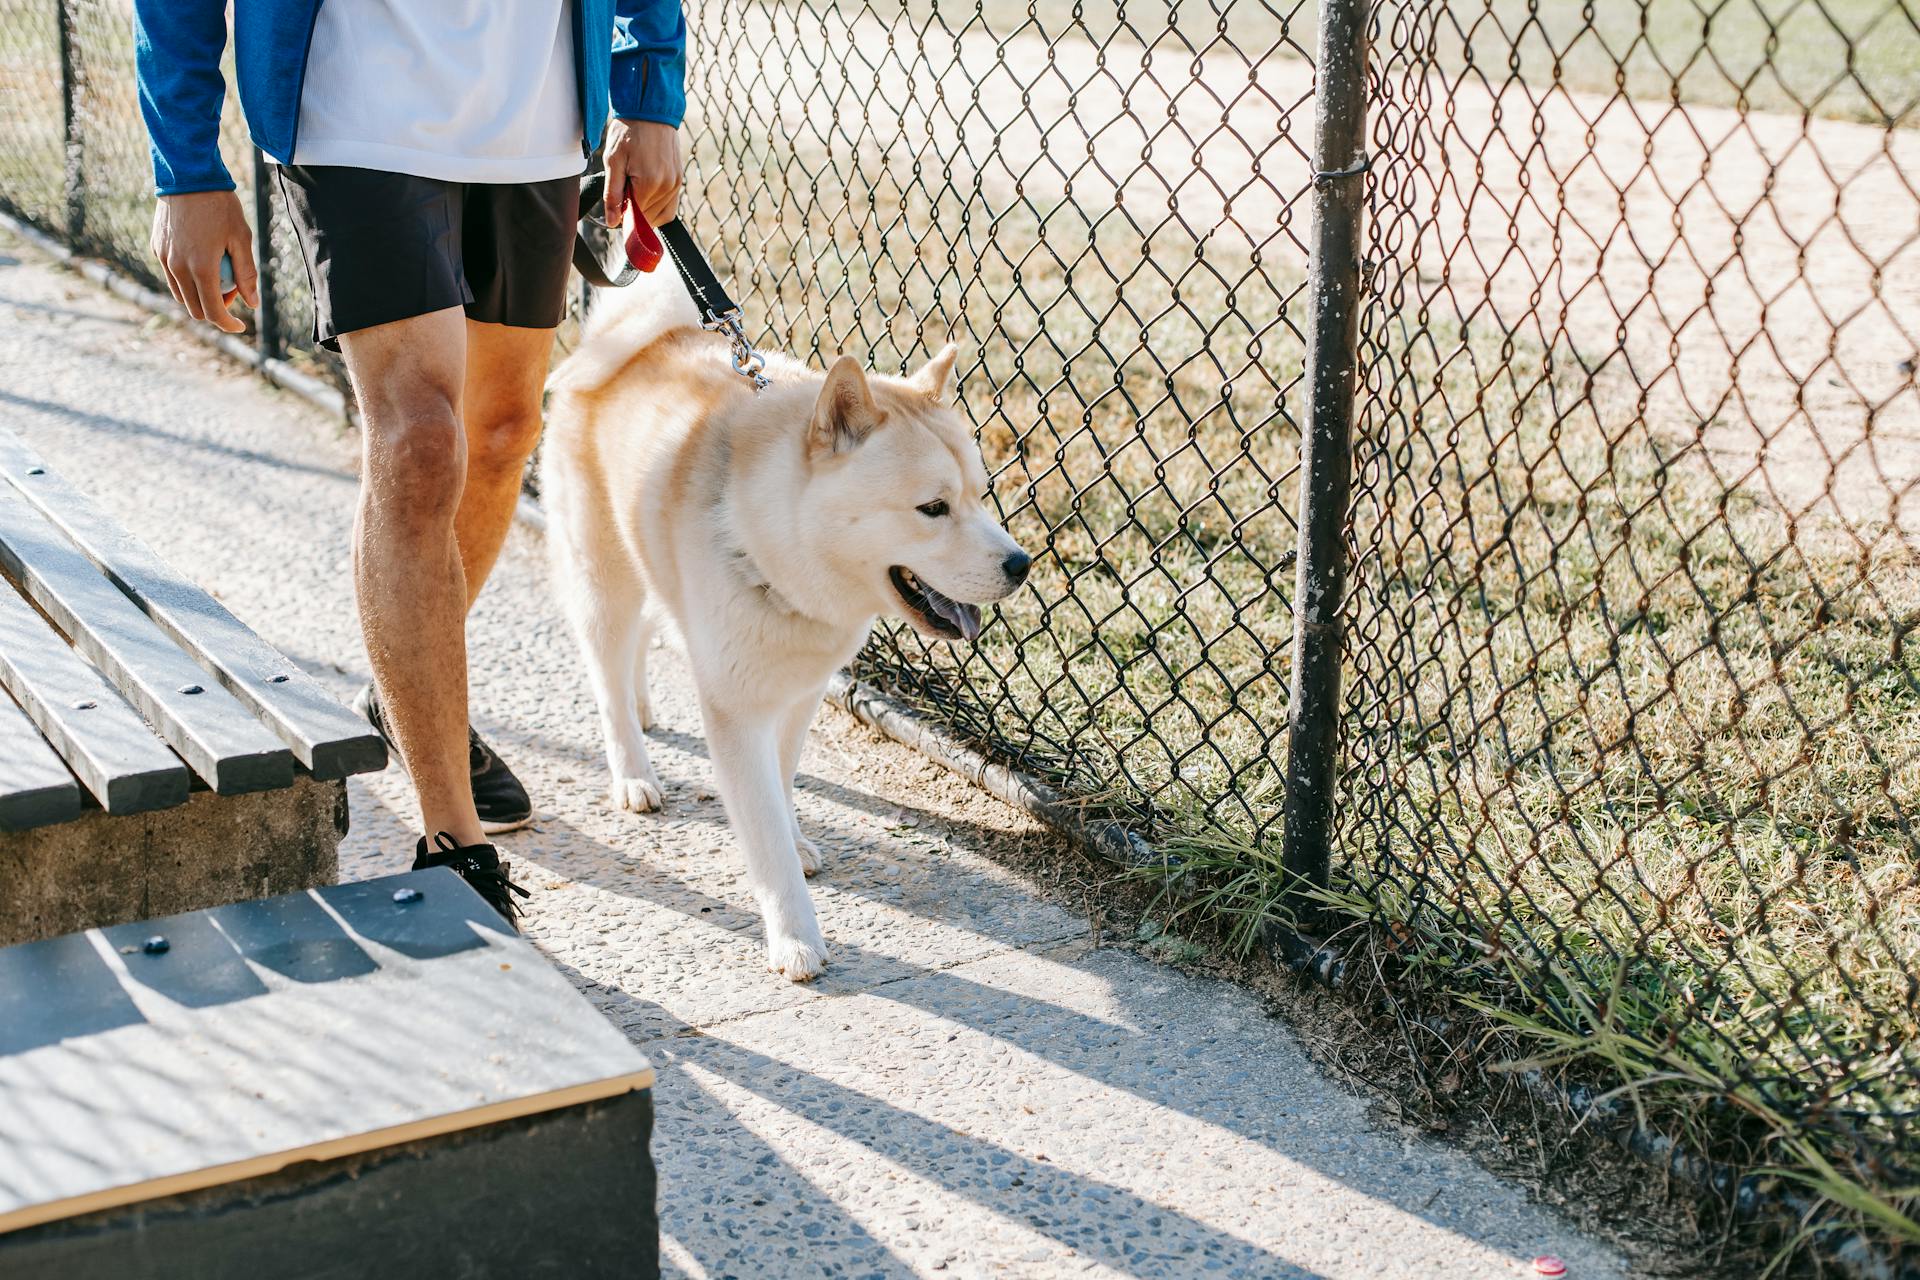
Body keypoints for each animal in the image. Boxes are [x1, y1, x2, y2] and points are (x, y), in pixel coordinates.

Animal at [549, 272, 1029, 982]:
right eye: (933, 508)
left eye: (979, 495)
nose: (1022, 565)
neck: (773, 550)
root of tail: (631, 341)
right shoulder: (736, 710)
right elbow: (764, 831)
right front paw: (795, 935)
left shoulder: (801, 694)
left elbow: (781, 784)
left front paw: (797, 839)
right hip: (603, 581)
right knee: (607, 673)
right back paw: (632, 768)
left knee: (640, 641)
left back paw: (643, 705)